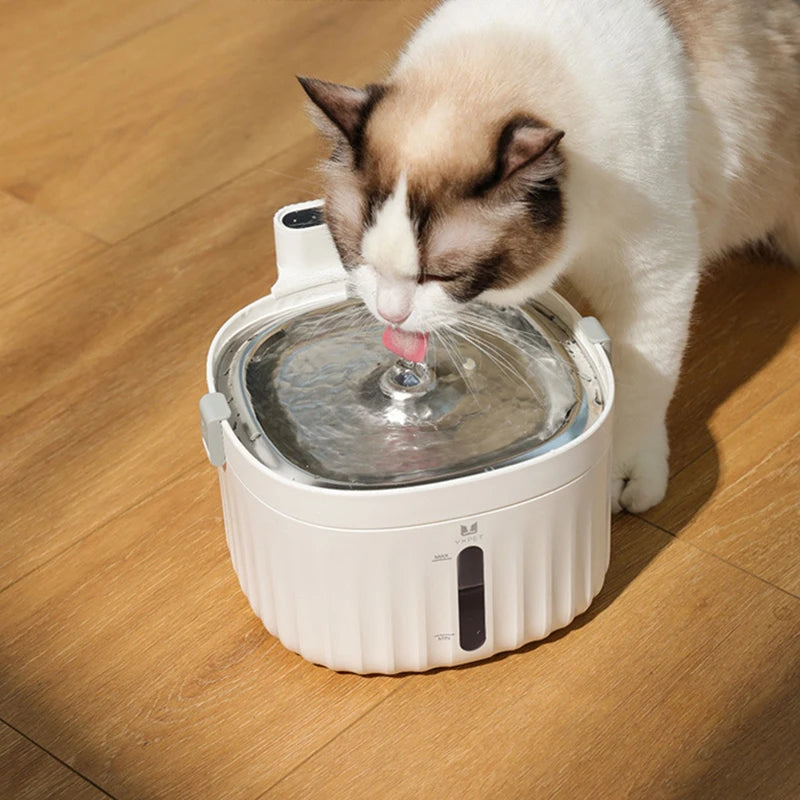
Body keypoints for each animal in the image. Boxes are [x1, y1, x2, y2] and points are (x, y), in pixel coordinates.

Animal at [298, 0, 800, 512]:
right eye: (355, 256)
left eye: (443, 275)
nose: (390, 314)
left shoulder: (655, 274)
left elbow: (644, 381)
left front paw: (623, 473)